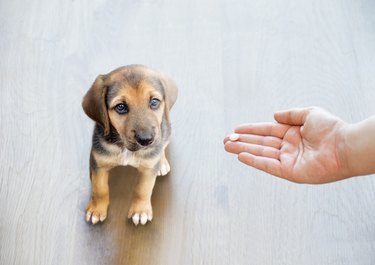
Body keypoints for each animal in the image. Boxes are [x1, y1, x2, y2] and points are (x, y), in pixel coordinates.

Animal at [82, 64, 178, 225]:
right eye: (121, 107)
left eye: (154, 102)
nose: (146, 140)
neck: (125, 148)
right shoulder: (99, 164)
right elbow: (99, 189)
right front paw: (97, 209)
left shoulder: (148, 169)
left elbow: (143, 189)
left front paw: (140, 211)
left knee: (163, 145)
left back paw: (162, 162)